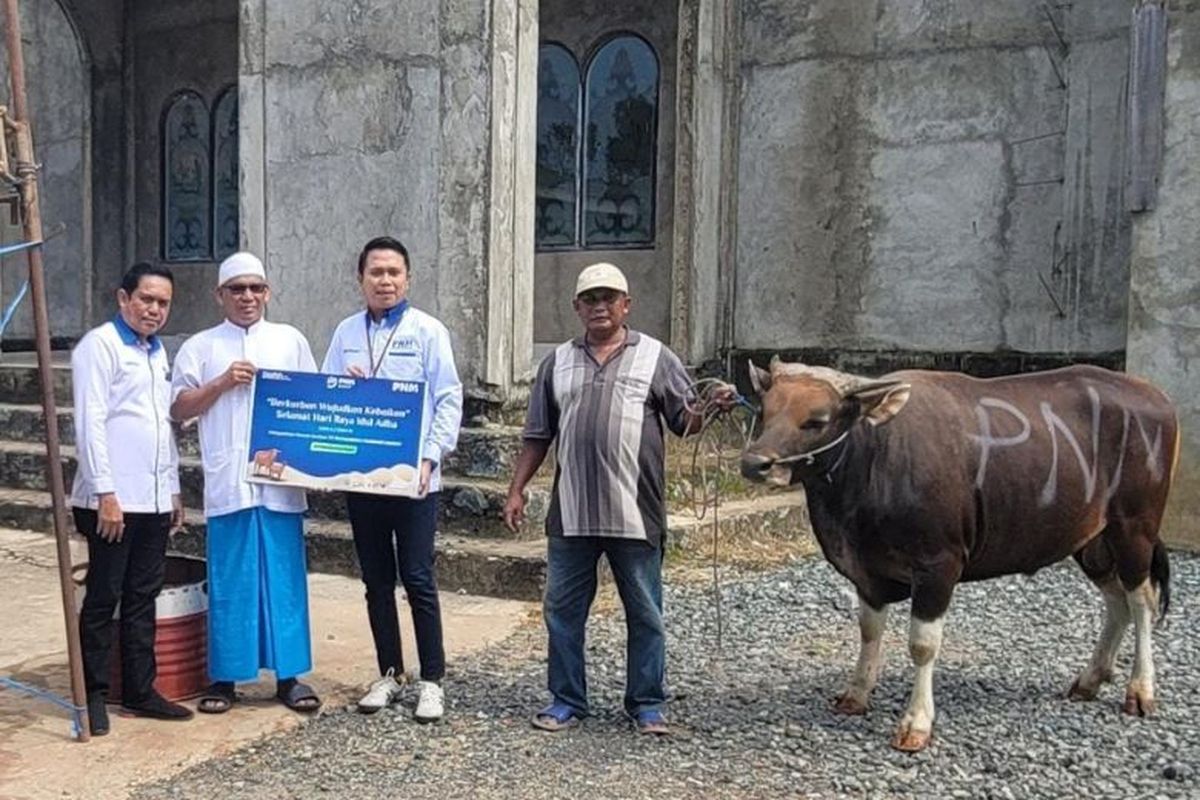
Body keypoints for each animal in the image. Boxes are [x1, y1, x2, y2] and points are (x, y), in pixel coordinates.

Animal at [739, 359, 1180, 753]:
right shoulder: (868, 572)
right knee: (1116, 601)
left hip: (1134, 528)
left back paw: (1140, 691)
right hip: (1090, 541)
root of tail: (1156, 396)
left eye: (816, 420)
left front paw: (916, 723)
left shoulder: (938, 566)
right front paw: (856, 693)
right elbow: (869, 630)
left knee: (1141, 600)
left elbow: (922, 644)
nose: (755, 464)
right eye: (764, 411)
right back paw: (1090, 679)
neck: (872, 463)